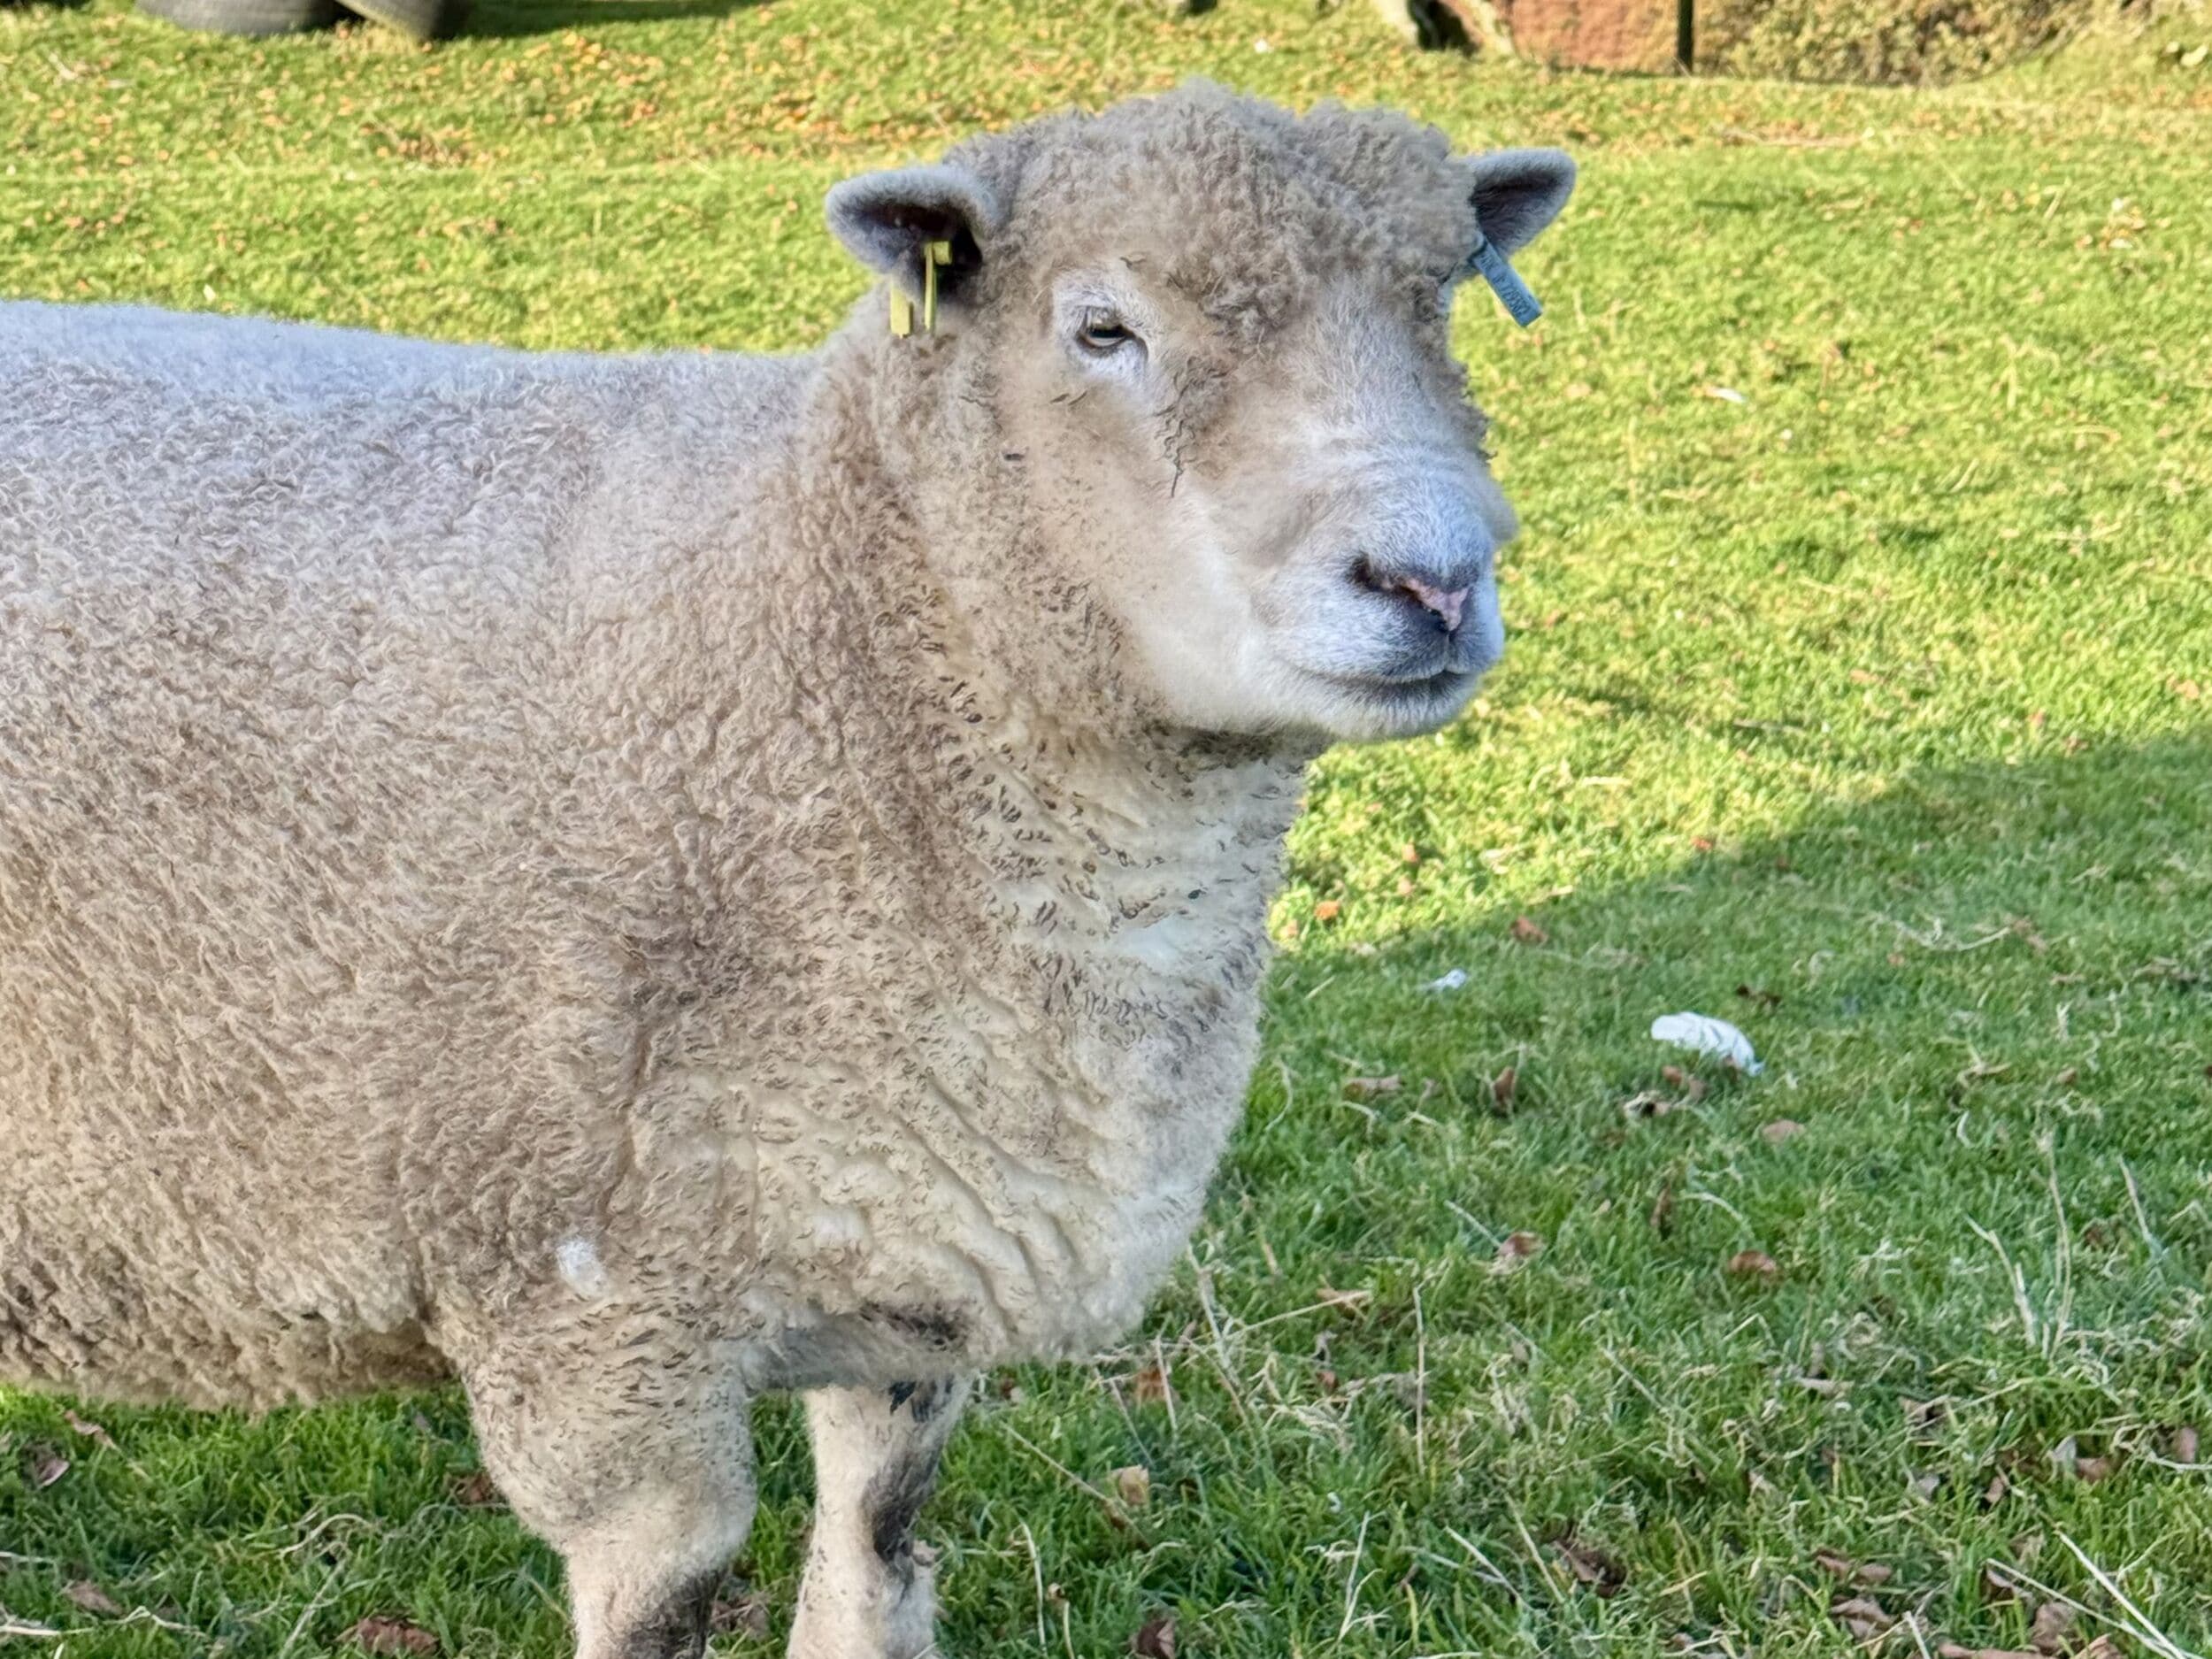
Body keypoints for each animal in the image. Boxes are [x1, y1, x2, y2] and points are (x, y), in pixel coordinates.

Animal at [0, 82, 1573, 1659]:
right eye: (1101, 329)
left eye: (1446, 297)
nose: (1434, 579)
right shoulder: (587, 1308)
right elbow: (665, 1594)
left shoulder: (916, 1249)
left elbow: (877, 1537)